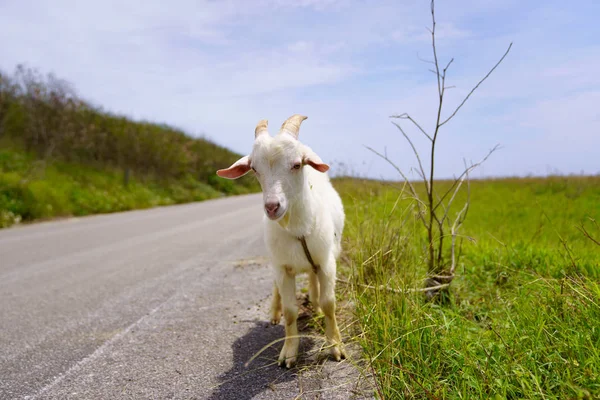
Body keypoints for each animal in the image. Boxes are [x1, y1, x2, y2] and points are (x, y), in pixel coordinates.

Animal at [218, 114, 344, 368]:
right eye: (254, 169)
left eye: (296, 164)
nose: (272, 207)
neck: (297, 229)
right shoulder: (282, 267)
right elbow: (290, 310)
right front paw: (289, 351)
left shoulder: (326, 262)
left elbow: (329, 303)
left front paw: (335, 346)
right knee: (277, 288)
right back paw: (274, 312)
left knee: (313, 281)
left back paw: (315, 305)